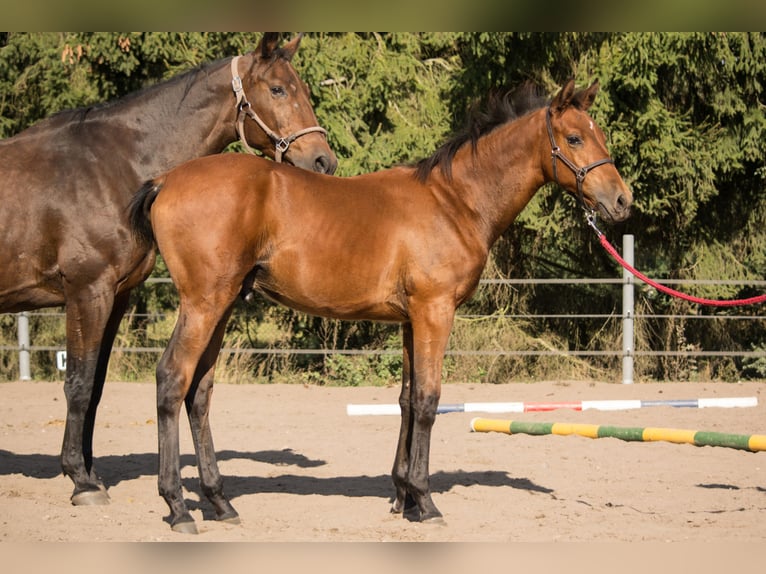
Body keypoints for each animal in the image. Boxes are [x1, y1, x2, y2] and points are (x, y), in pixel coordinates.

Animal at [0, 32, 336, 508]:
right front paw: (81, 481)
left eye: (302, 89)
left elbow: (96, 387)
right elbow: (78, 384)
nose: (324, 161)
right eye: (277, 90)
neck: (115, 164)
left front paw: (90, 472)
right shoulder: (87, 292)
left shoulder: (117, 296)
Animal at [132, 79, 632, 532]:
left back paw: (220, 503)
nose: (622, 200)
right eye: (574, 138)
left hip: (222, 306)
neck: (454, 201)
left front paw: (403, 497)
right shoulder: (435, 312)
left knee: (199, 394)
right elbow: (429, 401)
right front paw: (426, 503)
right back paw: (178, 507)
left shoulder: (411, 320)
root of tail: (165, 180)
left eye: (601, 134)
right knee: (172, 381)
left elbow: (407, 400)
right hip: (203, 304)